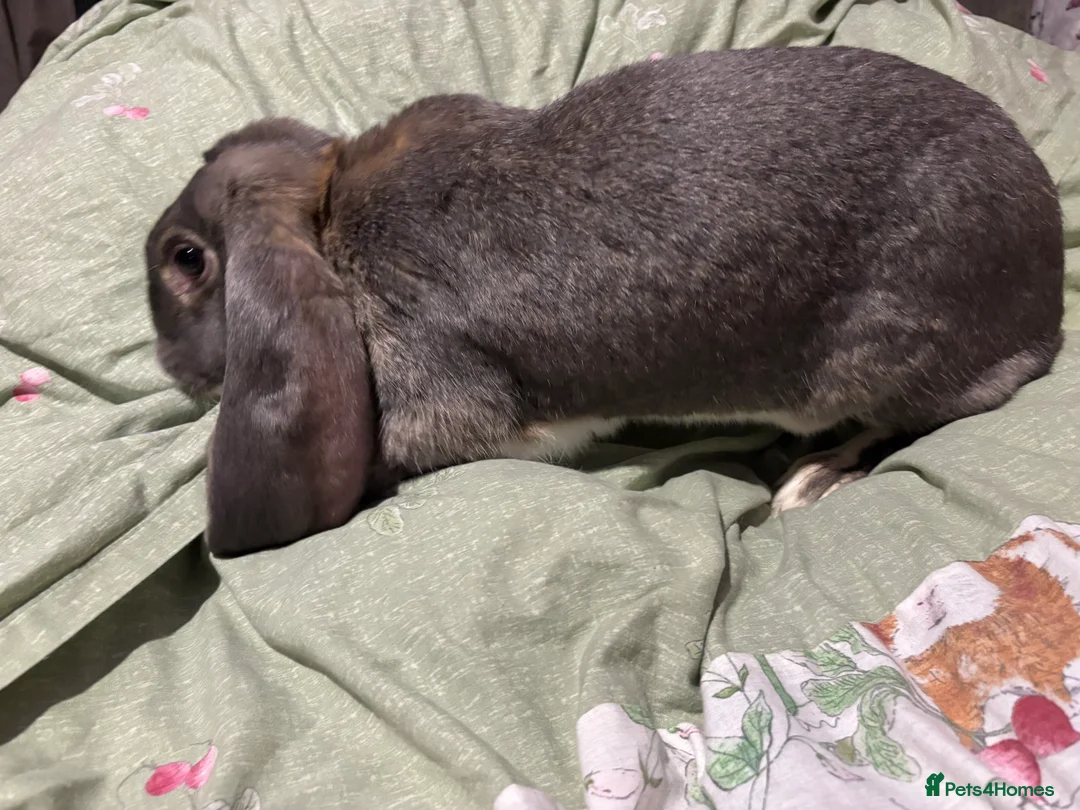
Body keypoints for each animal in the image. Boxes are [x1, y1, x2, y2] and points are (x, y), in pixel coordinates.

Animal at [145, 46, 1064, 557]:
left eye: (185, 260)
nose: (167, 368)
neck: (330, 219)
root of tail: (1047, 302)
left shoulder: (441, 386)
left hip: (881, 357)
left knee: (909, 419)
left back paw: (811, 482)